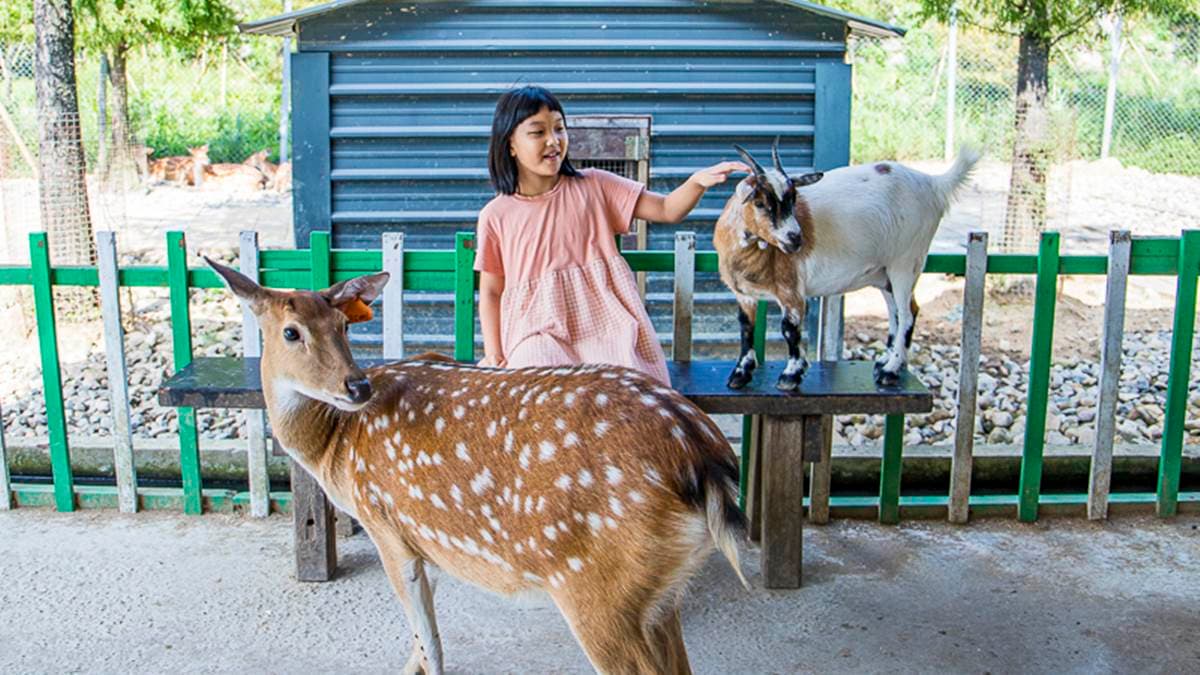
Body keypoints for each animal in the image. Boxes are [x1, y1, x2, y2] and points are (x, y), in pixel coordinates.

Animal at [205, 258, 748, 674]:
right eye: (291, 332)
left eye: (342, 327)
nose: (356, 386)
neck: (334, 448)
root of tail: (702, 456)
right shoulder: (429, 533)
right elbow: (425, 630)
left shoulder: (385, 522)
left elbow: (429, 638)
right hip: (660, 590)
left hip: (597, 585)